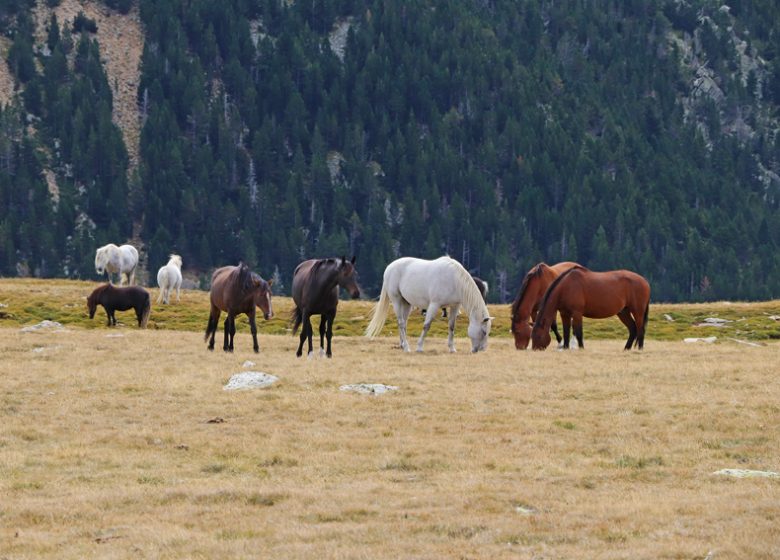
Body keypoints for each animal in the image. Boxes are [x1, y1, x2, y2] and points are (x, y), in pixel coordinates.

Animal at [366, 256, 494, 352]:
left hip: (406, 303)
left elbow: (451, 326)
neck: (454, 280)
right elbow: (426, 326)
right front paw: (419, 347)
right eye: (484, 332)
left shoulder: (455, 306)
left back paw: (402, 345)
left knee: (404, 323)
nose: (481, 349)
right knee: (401, 323)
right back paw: (407, 348)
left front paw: (452, 348)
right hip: (397, 300)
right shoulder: (434, 305)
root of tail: (389, 267)